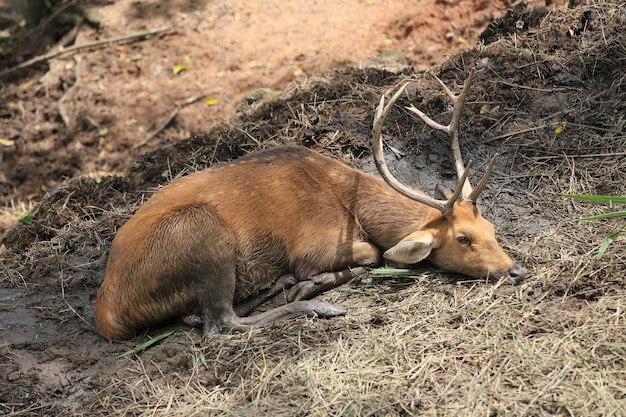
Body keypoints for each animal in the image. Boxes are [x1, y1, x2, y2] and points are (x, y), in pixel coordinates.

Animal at [94, 70, 520, 338]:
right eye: (463, 238)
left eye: (491, 229)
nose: (514, 270)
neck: (351, 206)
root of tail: (108, 312)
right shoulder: (313, 245)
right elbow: (374, 253)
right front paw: (316, 282)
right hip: (202, 231)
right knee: (218, 324)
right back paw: (316, 305)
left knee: (202, 315)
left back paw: (276, 286)